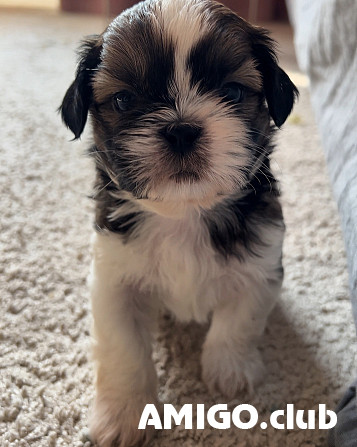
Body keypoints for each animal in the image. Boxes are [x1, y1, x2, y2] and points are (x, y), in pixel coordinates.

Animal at [59, 0, 296, 446]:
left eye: (231, 92)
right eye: (124, 100)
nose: (182, 128)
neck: (183, 214)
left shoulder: (259, 265)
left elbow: (239, 323)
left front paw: (229, 372)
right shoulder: (114, 278)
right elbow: (124, 349)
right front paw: (123, 414)